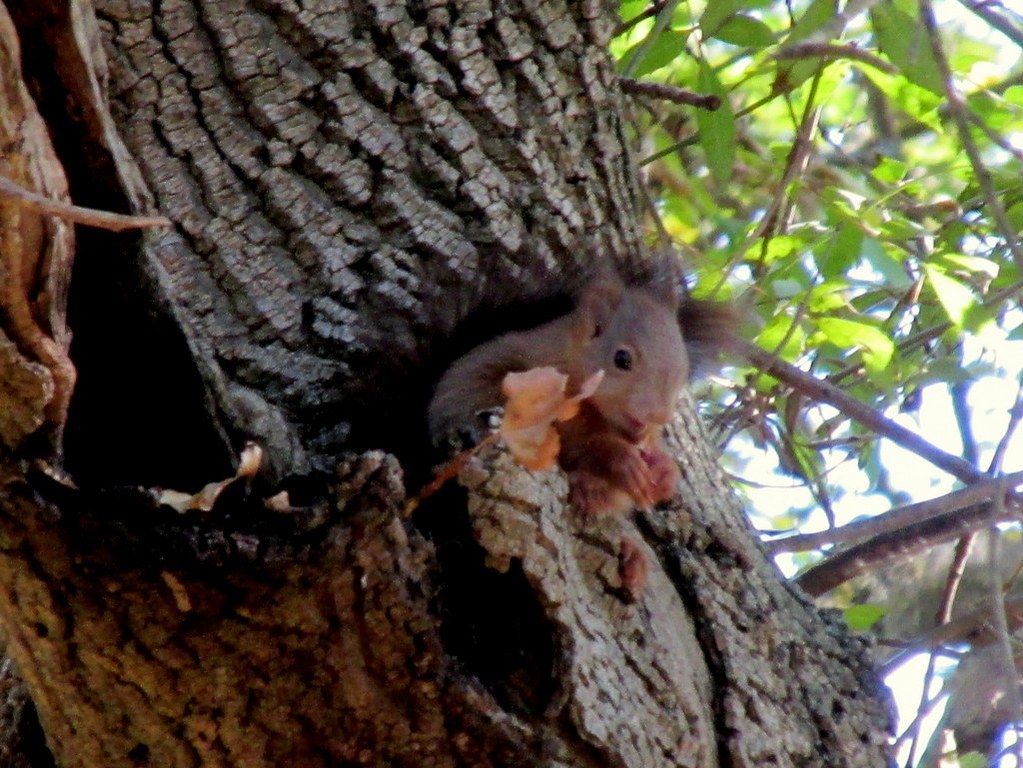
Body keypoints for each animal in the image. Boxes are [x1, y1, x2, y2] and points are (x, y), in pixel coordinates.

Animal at [425, 274, 736, 517]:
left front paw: (665, 472)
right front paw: (621, 460)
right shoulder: (542, 390)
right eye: (621, 359)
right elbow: (580, 444)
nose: (660, 415)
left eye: (683, 364)